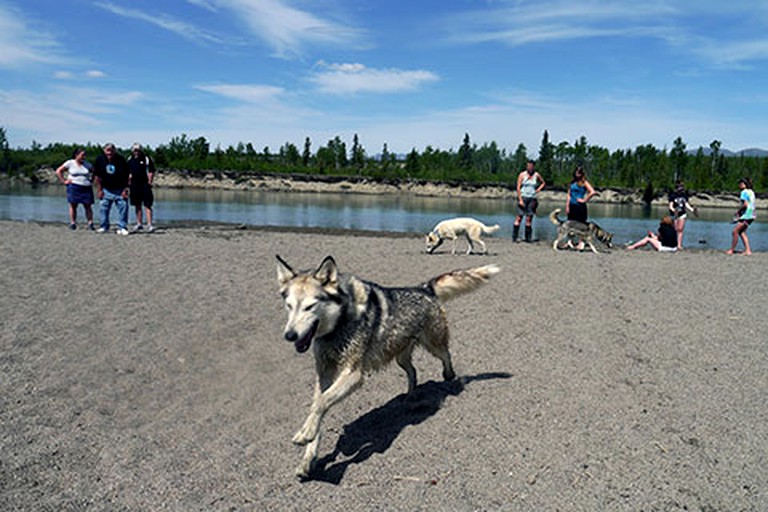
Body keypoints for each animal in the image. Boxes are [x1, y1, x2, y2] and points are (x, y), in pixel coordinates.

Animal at [276, 254, 498, 478]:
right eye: (289, 306)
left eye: (310, 306)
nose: (290, 335)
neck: (338, 326)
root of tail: (424, 288)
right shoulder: (324, 374)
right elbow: (318, 406)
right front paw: (308, 455)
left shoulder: (354, 374)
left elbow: (322, 402)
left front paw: (306, 434)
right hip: (401, 357)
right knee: (413, 371)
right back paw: (410, 395)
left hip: (433, 344)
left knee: (446, 355)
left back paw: (450, 376)